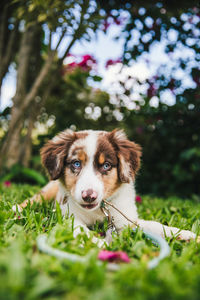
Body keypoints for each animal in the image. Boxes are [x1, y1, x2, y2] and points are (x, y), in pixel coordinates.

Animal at [14, 127, 197, 245]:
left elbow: (153, 225)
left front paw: (183, 234)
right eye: (76, 163)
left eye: (106, 165)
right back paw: (17, 209)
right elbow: (80, 229)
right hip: (48, 190)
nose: (89, 196)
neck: (98, 210)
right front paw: (99, 244)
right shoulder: (67, 215)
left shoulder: (125, 220)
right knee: (34, 199)